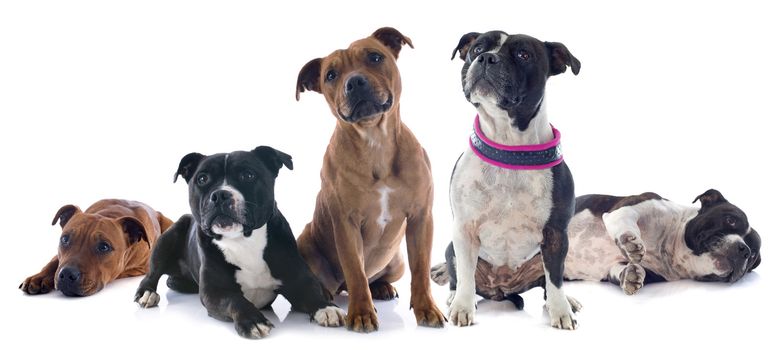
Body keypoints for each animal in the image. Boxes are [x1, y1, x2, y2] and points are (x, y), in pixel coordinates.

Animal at [19, 200, 171, 296]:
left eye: (104, 247)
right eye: (65, 239)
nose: (67, 274)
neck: (110, 213)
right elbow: (53, 262)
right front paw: (38, 278)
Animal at [296, 26, 448, 330]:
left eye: (375, 57)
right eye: (331, 75)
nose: (354, 82)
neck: (375, 141)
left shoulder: (421, 217)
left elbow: (421, 270)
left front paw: (426, 308)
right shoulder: (346, 223)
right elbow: (355, 270)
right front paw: (361, 313)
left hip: (397, 262)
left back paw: (381, 287)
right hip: (305, 242)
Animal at [432, 189, 764, 298]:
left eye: (753, 260)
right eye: (731, 220)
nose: (744, 250)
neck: (668, 244)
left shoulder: (613, 268)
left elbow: (621, 269)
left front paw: (632, 275)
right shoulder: (626, 208)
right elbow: (623, 222)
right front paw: (630, 240)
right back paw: (440, 271)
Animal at [440, 31, 580, 330]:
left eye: (523, 55)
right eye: (477, 48)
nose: (486, 58)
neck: (509, 148)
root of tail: (501, 288)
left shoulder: (556, 234)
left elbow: (555, 280)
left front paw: (561, 311)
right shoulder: (464, 230)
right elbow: (466, 275)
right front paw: (462, 307)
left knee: (549, 282)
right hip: (450, 249)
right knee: (458, 277)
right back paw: (453, 298)